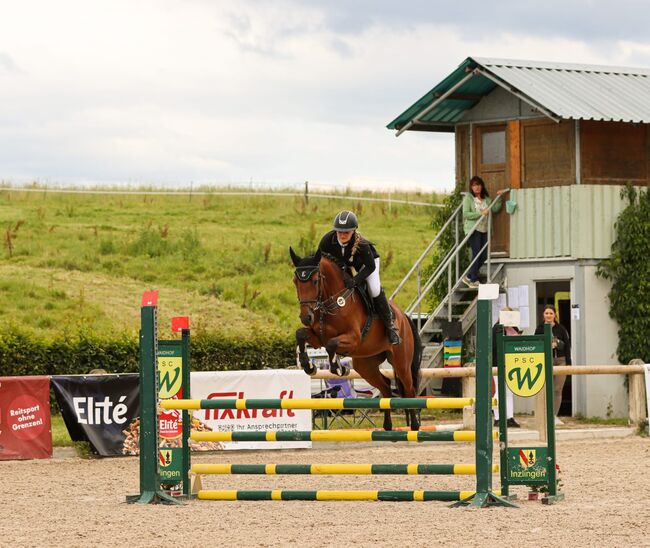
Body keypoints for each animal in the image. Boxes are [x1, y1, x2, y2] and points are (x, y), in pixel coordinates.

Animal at [288, 246, 420, 430]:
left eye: (315, 281)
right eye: (295, 281)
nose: (306, 317)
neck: (331, 302)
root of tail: (404, 316)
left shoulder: (353, 339)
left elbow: (331, 345)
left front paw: (339, 369)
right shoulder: (317, 338)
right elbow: (301, 334)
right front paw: (309, 366)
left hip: (401, 362)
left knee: (409, 389)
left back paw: (414, 426)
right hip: (365, 365)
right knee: (386, 386)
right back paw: (387, 427)